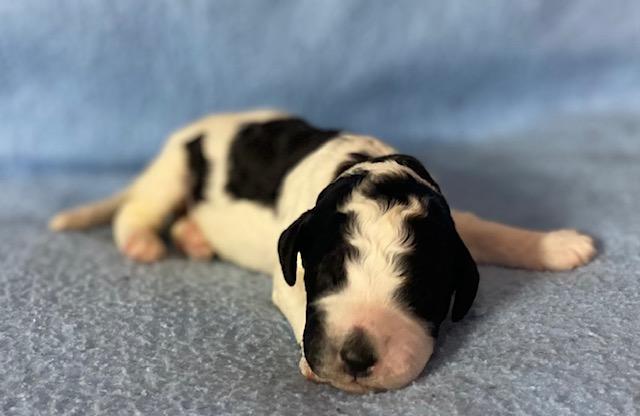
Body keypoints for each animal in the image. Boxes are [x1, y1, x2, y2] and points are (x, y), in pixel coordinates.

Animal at [50, 109, 596, 393]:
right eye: (329, 276)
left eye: (420, 288)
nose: (356, 358)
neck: (368, 162)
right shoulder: (290, 267)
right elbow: (295, 300)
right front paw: (315, 363)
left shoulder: (451, 222)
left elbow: (486, 228)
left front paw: (558, 244)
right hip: (175, 170)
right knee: (136, 209)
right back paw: (143, 242)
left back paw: (196, 239)